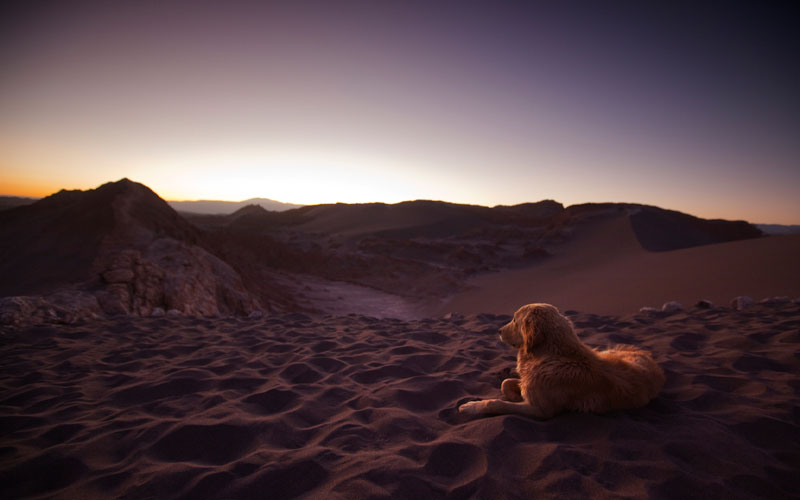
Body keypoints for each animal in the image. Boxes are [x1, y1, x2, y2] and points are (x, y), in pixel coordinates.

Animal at [460, 304, 664, 418]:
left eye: (515, 320)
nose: (499, 331)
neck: (552, 356)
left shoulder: (541, 410)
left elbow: (494, 403)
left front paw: (471, 407)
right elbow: (505, 383)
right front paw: (514, 392)